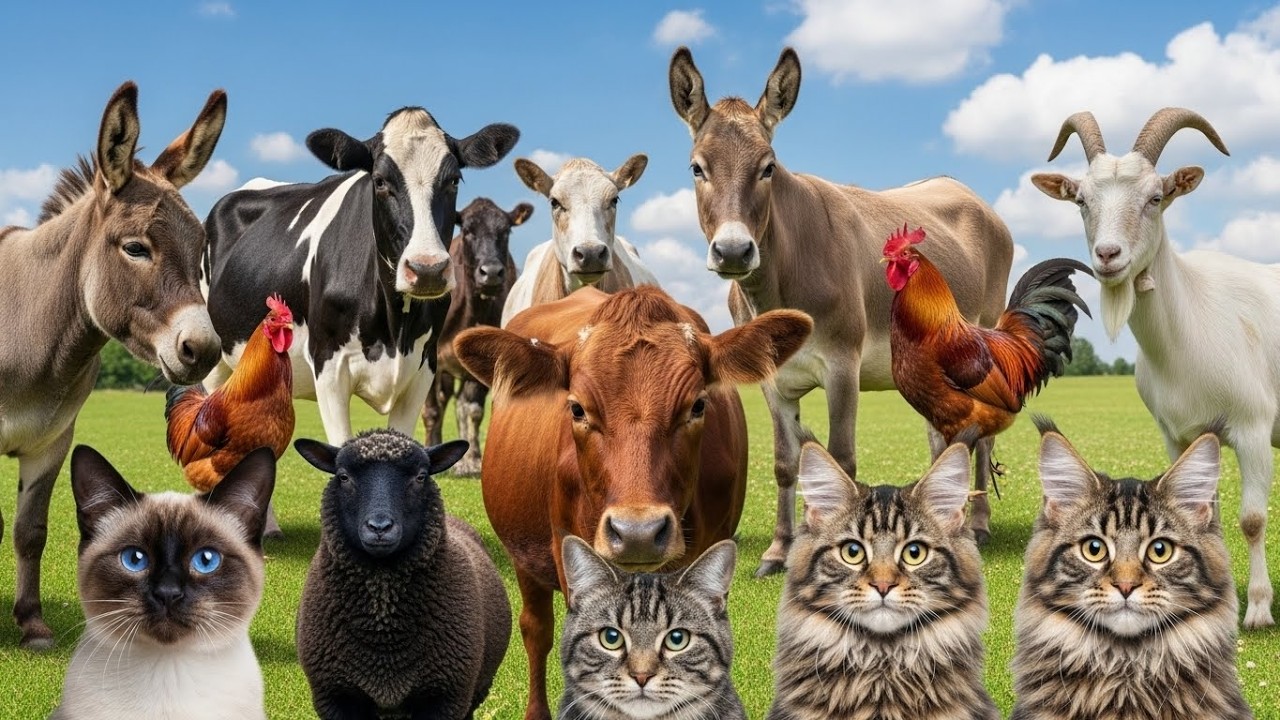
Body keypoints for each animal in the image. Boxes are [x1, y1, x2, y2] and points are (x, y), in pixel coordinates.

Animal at [201, 107, 520, 459]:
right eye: (379, 181)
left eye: (453, 180)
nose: (427, 270)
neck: (395, 328)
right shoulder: (328, 365)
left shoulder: (425, 367)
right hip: (215, 360)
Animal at [421, 197, 532, 476]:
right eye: (468, 231)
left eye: (506, 231)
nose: (491, 272)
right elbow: (431, 410)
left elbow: (473, 410)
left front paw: (472, 459)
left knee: (461, 405)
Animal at [1032, 107, 1279, 629]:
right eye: (1080, 200)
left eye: (1156, 197)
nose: (1108, 256)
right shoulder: (1176, 435)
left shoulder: (1252, 427)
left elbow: (1252, 519)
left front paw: (1258, 609)